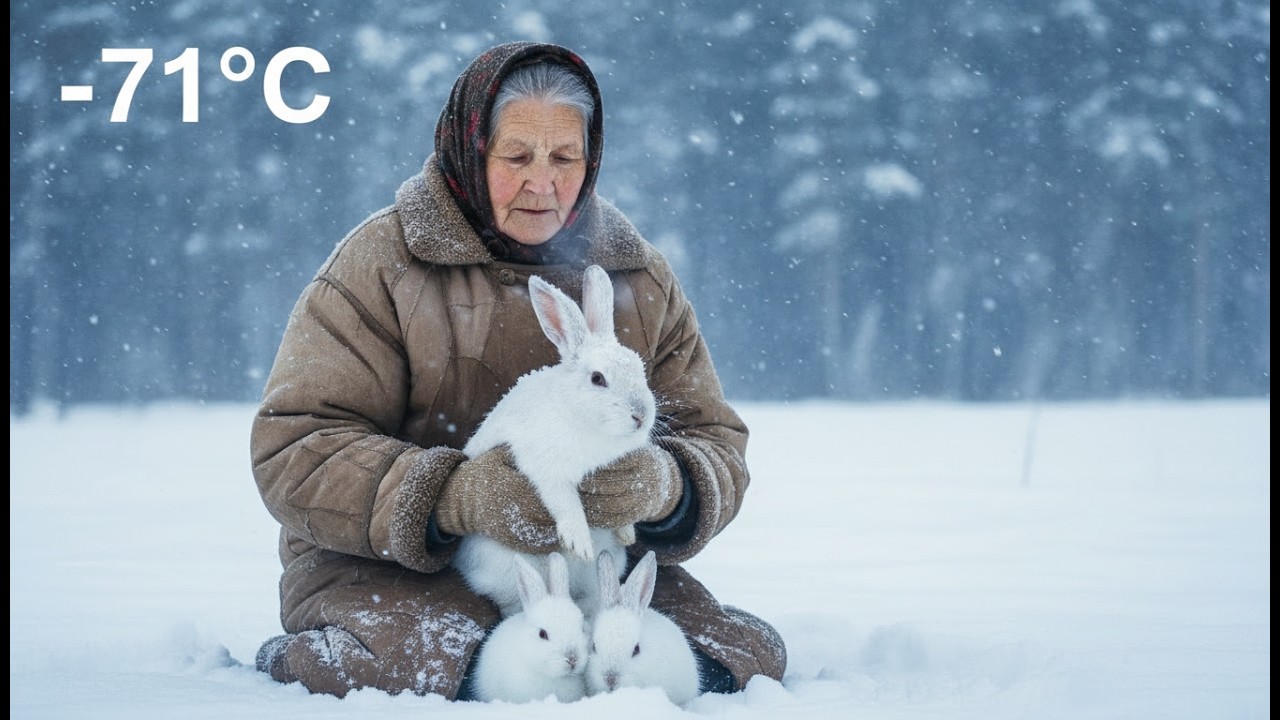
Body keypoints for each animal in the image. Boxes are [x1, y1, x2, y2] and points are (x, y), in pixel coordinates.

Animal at [451, 264, 658, 618]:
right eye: (598, 378)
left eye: (639, 369)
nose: (640, 416)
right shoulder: (545, 469)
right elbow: (565, 502)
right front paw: (580, 544)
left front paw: (626, 532)